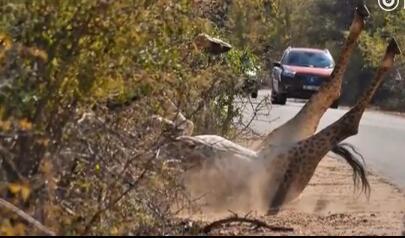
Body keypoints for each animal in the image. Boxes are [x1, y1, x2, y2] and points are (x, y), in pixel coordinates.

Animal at [154, 1, 400, 214]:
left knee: (330, 95)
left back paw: (375, 29)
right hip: (294, 156)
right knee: (344, 113)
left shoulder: (182, 133)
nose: (222, 45)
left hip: (280, 138)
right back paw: (384, 43)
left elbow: (183, 120)